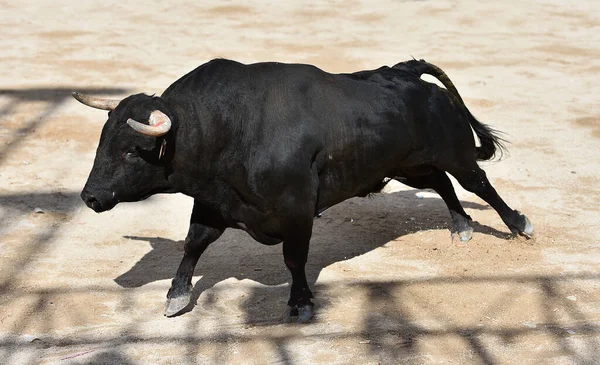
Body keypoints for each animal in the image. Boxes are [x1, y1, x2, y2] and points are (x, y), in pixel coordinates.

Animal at [72, 59, 532, 322]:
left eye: (132, 151)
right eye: (102, 142)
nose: (90, 198)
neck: (226, 127)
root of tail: (405, 73)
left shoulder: (296, 210)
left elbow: (294, 258)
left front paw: (301, 303)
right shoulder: (213, 202)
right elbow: (194, 243)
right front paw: (176, 296)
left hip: (452, 151)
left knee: (476, 182)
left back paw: (517, 223)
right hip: (405, 166)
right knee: (441, 182)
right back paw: (461, 225)